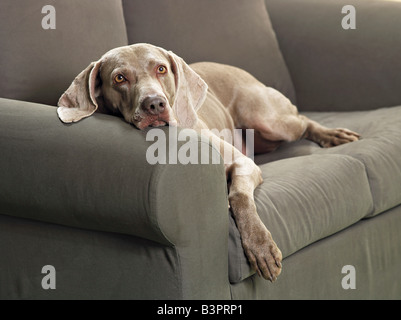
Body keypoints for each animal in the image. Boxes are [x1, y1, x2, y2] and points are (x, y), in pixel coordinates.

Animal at [57, 43, 360, 282]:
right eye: (120, 78)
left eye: (161, 69)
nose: (155, 104)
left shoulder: (244, 163)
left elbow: (239, 195)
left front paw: (261, 247)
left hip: (267, 118)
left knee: (302, 120)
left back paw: (332, 134)